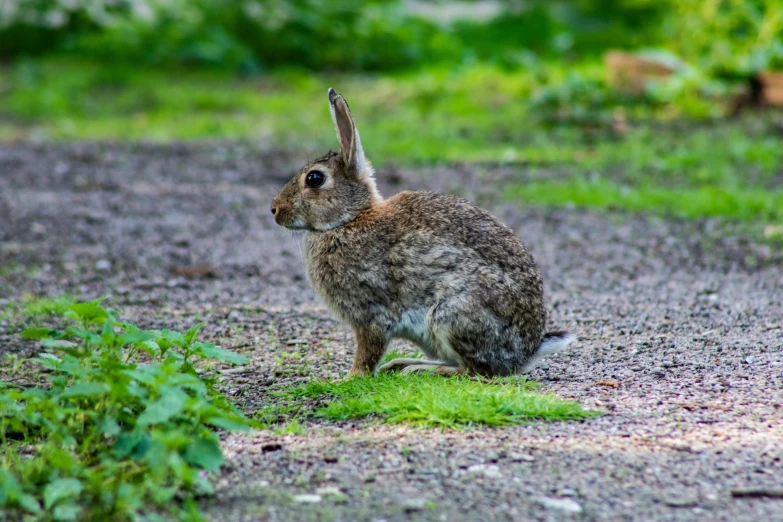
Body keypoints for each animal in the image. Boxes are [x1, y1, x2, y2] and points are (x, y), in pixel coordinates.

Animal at [272, 88, 576, 374]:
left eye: (314, 178)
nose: (274, 209)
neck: (349, 219)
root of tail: (525, 353)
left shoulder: (371, 314)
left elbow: (368, 352)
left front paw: (349, 378)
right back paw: (403, 364)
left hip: (452, 313)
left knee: (475, 371)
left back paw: (420, 369)